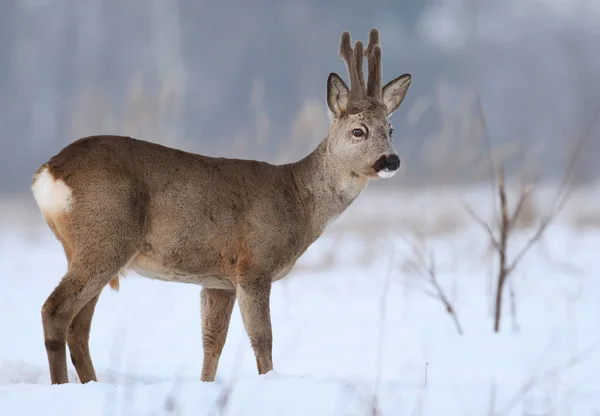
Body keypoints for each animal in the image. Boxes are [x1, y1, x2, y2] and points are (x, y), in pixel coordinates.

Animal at [30, 28, 410, 384]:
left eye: (390, 129)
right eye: (358, 131)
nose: (391, 161)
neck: (297, 198)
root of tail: (48, 171)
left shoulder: (218, 280)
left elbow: (212, 342)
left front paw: (206, 384)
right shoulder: (254, 264)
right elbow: (263, 339)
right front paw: (267, 381)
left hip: (88, 248)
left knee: (79, 327)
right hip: (107, 237)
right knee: (55, 310)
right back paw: (62, 385)